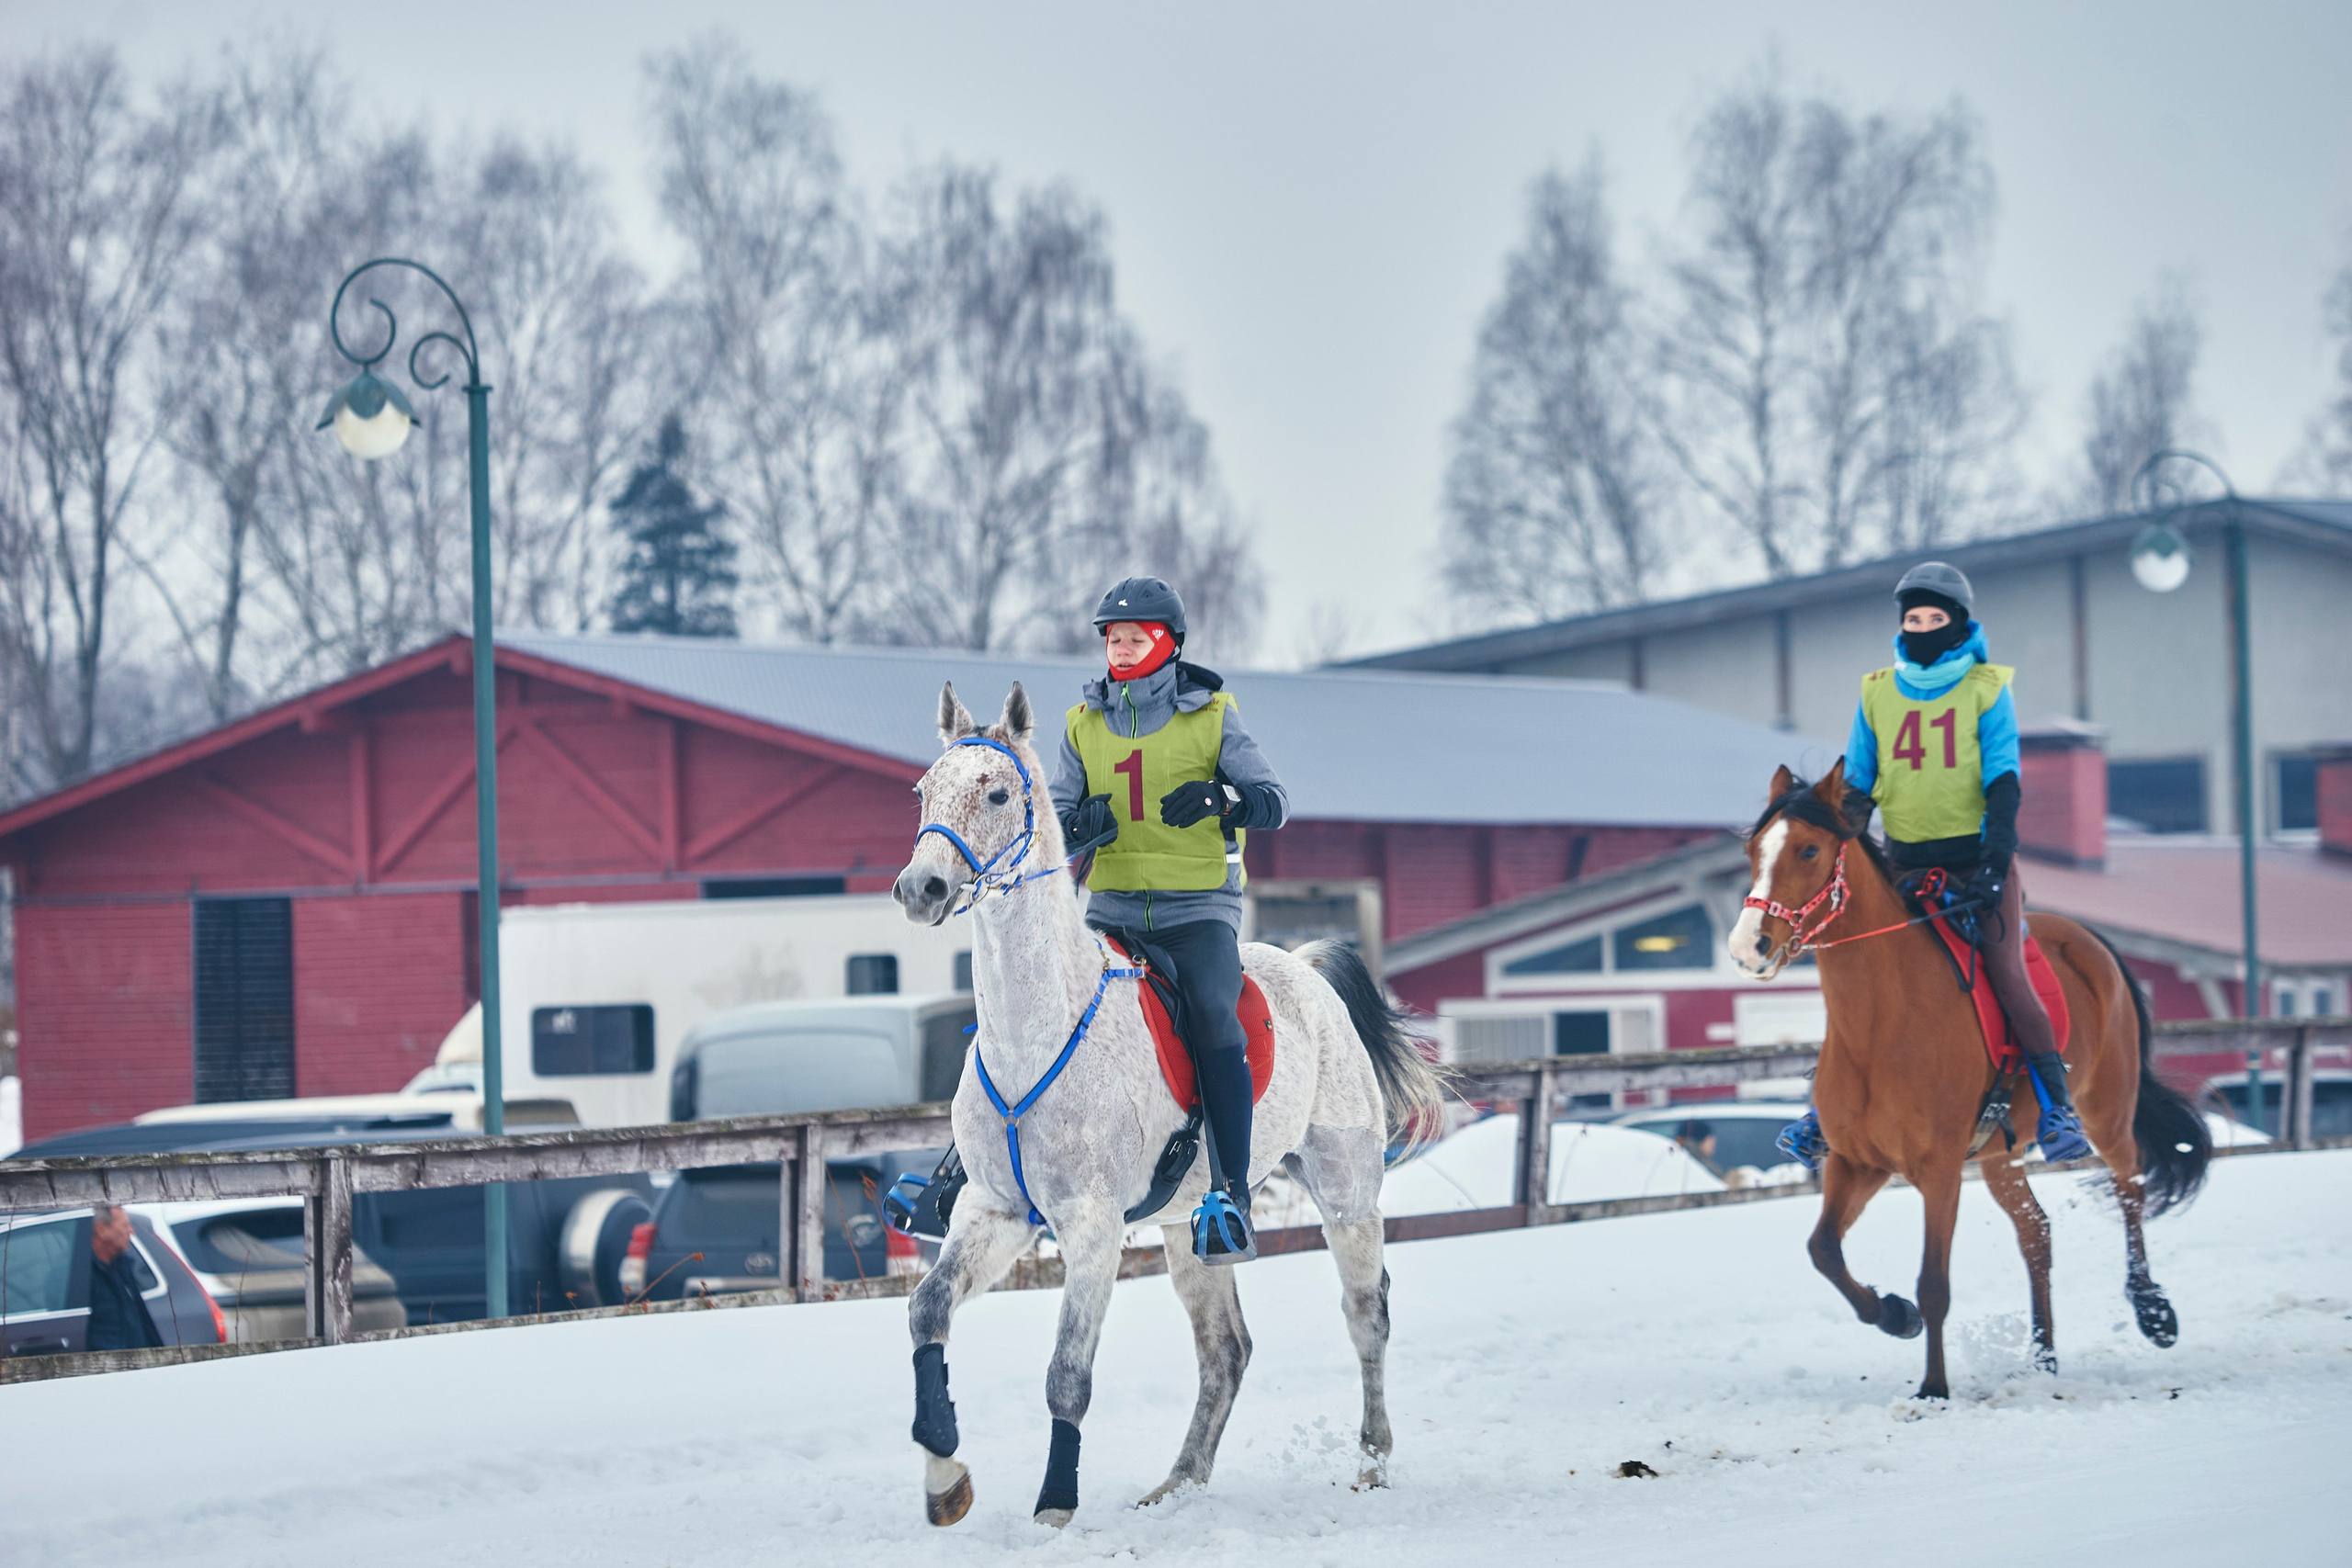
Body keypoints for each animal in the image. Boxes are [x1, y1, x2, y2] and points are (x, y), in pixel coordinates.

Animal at [890, 681, 1446, 1528]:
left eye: (997, 792)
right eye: (923, 789)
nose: (921, 888)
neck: (1033, 1037)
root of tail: (1306, 966)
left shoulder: (1090, 1227)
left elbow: (1067, 1375)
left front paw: (1053, 1511)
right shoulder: (996, 1210)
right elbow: (928, 1312)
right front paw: (945, 1478)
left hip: (1346, 1191)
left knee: (1366, 1313)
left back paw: (1372, 1460)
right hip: (1191, 1225)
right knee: (1226, 1349)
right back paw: (1177, 1483)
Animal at [1728, 762, 2212, 1399]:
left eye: (1809, 849)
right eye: (1753, 850)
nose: (1747, 947)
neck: (1880, 1024)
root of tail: (2087, 940)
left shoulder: (1938, 1170)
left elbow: (1934, 1282)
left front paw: (1933, 1387)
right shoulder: (1856, 1163)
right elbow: (1823, 1250)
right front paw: (1894, 1314)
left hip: (2107, 1113)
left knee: (2129, 1188)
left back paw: (2152, 1310)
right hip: (2000, 1156)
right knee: (2036, 1233)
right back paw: (2043, 1357)